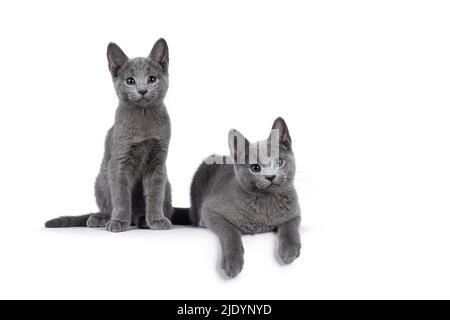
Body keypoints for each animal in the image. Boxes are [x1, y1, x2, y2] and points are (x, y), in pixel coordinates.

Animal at [45, 38, 186, 231]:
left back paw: (143, 220)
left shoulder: (158, 161)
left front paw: (156, 220)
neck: (143, 119)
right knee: (107, 204)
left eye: (152, 79)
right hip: (101, 179)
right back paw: (101, 218)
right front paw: (118, 221)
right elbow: (121, 195)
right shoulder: (120, 160)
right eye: (130, 81)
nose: (142, 90)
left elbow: (155, 194)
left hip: (168, 185)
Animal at [174, 117, 300, 278]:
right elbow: (230, 231)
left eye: (279, 162)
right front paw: (233, 260)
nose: (270, 176)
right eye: (255, 168)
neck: (265, 202)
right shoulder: (210, 209)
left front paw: (289, 249)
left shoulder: (294, 211)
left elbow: (290, 226)